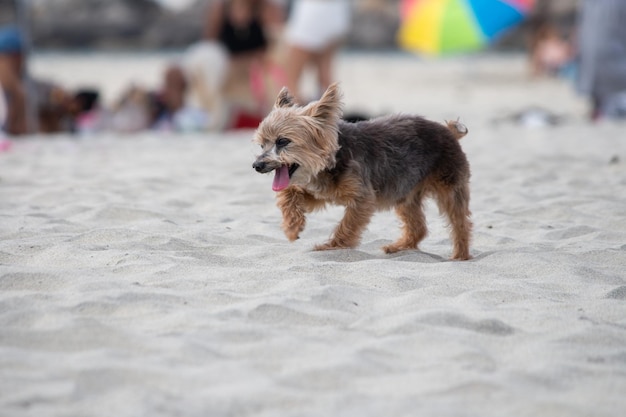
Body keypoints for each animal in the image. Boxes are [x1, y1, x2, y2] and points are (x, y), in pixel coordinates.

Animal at [251, 82, 470, 258]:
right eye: (262, 145)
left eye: (282, 141)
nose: (257, 165)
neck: (333, 159)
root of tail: (448, 131)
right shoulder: (320, 193)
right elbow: (289, 193)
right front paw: (292, 226)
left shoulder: (362, 198)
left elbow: (348, 224)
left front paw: (332, 246)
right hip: (405, 193)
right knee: (418, 227)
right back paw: (399, 247)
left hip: (449, 188)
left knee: (460, 223)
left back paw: (460, 256)